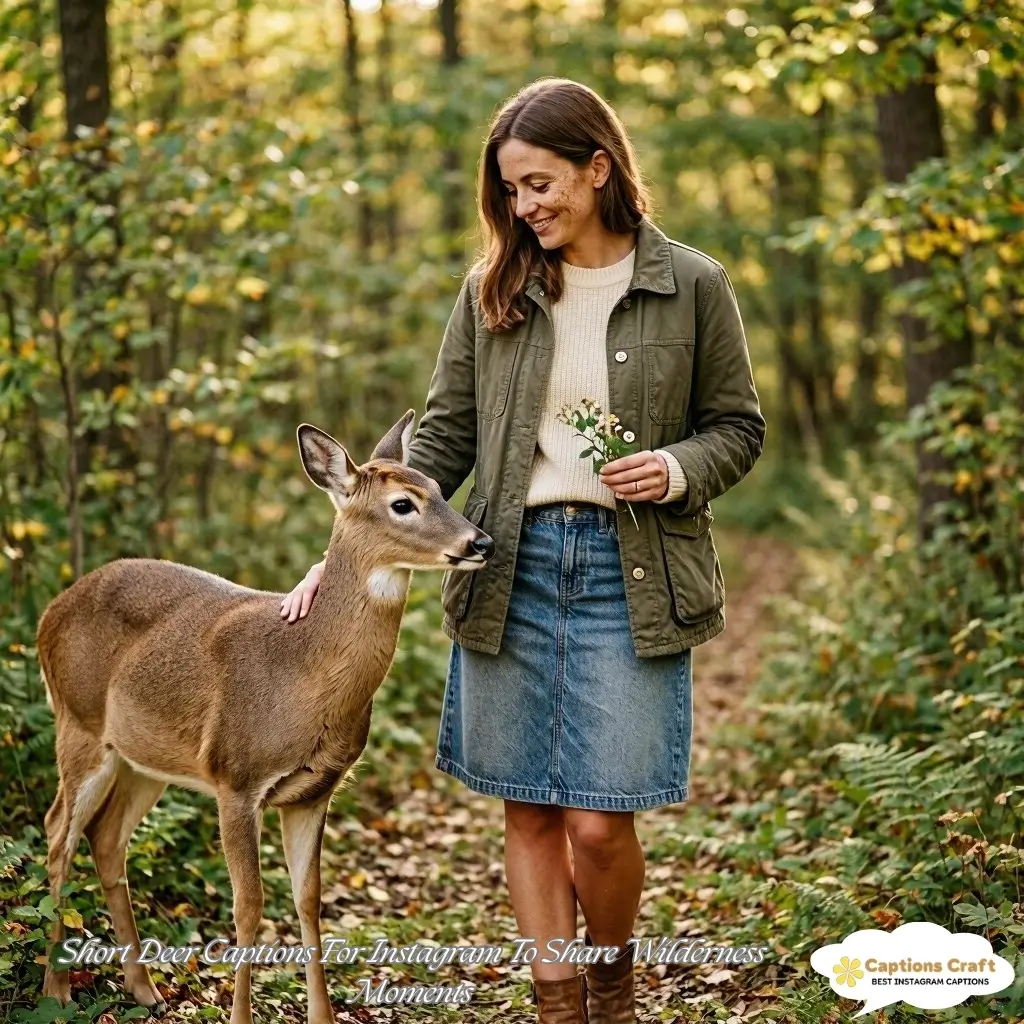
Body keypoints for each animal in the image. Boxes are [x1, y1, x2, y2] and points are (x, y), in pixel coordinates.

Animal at [38, 410, 494, 1024]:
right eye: (403, 503)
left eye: (440, 489)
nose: (480, 541)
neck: (303, 674)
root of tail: (49, 611)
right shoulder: (236, 777)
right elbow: (249, 906)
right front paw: (240, 1015)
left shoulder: (315, 791)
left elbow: (308, 901)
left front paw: (323, 1016)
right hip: (78, 722)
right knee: (57, 832)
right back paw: (57, 991)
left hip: (144, 757)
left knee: (105, 838)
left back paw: (143, 989)